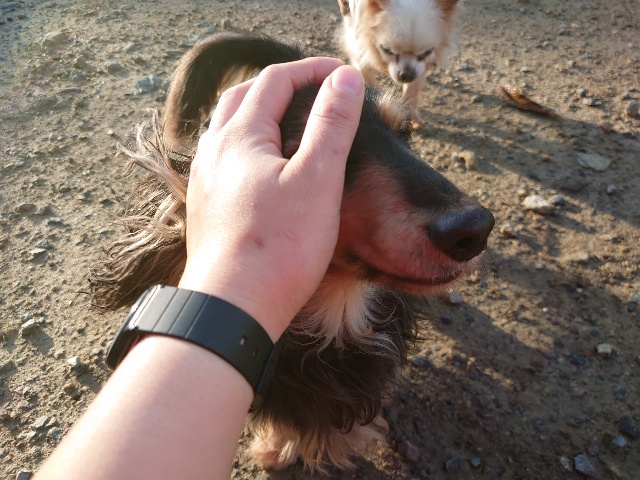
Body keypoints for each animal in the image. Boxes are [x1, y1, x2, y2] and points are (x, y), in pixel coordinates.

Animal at [337, 0, 462, 129]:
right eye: (387, 50)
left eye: (426, 53)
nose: (407, 75)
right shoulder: (360, 52)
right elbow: (369, 82)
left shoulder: (420, 67)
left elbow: (412, 90)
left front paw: (411, 115)